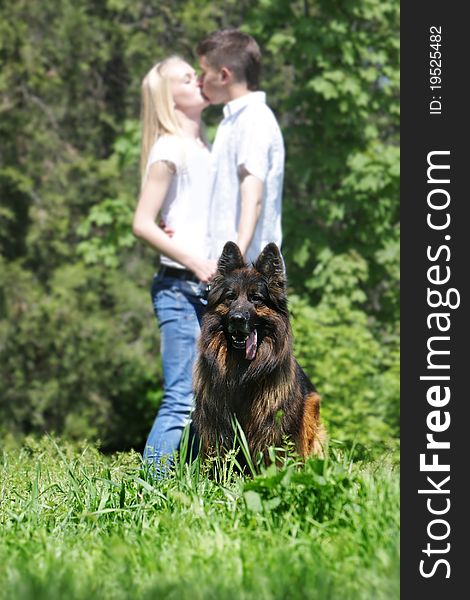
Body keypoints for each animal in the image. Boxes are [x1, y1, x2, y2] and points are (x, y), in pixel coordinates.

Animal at [193, 241, 324, 466]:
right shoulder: (215, 424)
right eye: (230, 297)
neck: (241, 371)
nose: (237, 319)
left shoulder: (271, 427)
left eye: (256, 298)